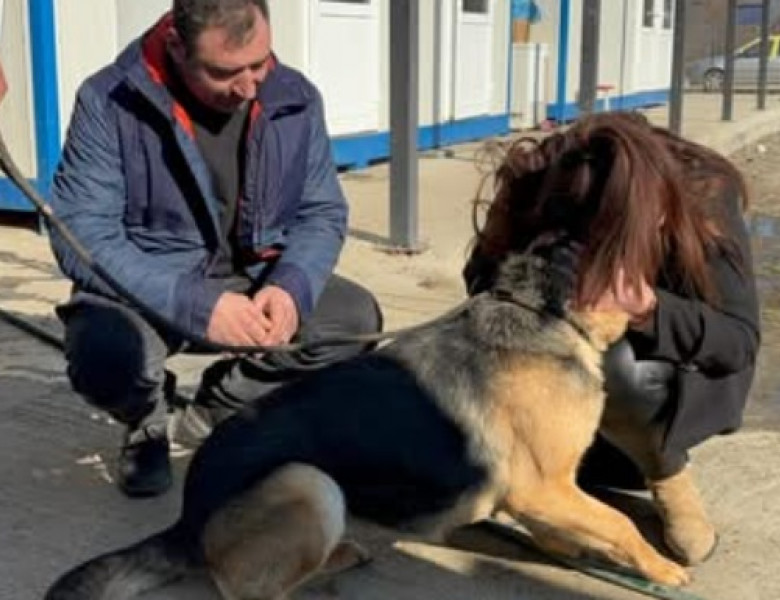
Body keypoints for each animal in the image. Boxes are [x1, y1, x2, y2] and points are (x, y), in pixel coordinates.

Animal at [47, 245, 688, 600]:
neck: (542, 312)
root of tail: (187, 520)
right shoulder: (542, 487)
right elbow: (621, 524)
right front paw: (662, 569)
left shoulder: (546, 492)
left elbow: (583, 527)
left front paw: (578, 551)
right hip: (308, 482)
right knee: (254, 590)